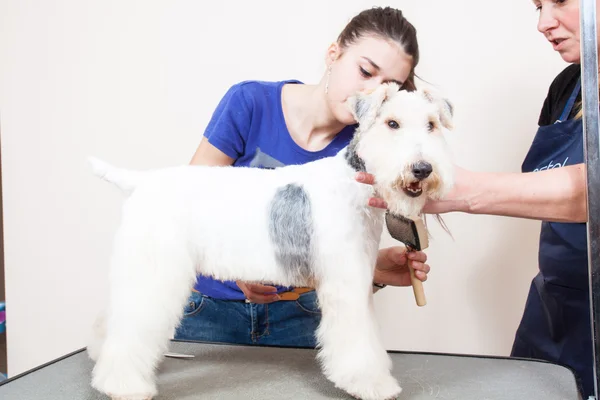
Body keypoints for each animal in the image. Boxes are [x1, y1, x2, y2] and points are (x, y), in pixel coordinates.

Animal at [85, 82, 454, 400]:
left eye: (432, 124)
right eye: (392, 123)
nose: (422, 169)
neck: (354, 182)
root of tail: (140, 181)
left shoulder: (359, 276)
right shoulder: (345, 283)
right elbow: (357, 341)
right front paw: (373, 384)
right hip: (154, 274)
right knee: (130, 329)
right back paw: (123, 385)